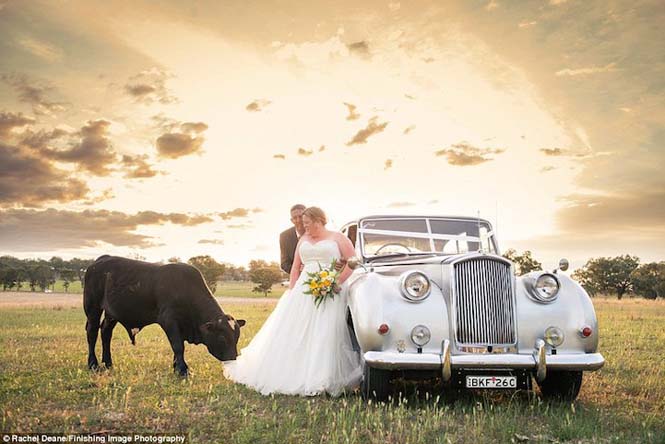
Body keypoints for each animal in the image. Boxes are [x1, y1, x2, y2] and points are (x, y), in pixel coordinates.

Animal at [84, 255, 245, 376]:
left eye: (237, 337)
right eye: (222, 338)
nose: (232, 359)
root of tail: (100, 260)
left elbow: (178, 347)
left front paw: (176, 367)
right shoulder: (169, 321)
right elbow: (178, 346)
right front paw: (183, 370)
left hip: (111, 313)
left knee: (106, 333)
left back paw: (108, 363)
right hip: (92, 308)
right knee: (92, 332)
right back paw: (93, 364)